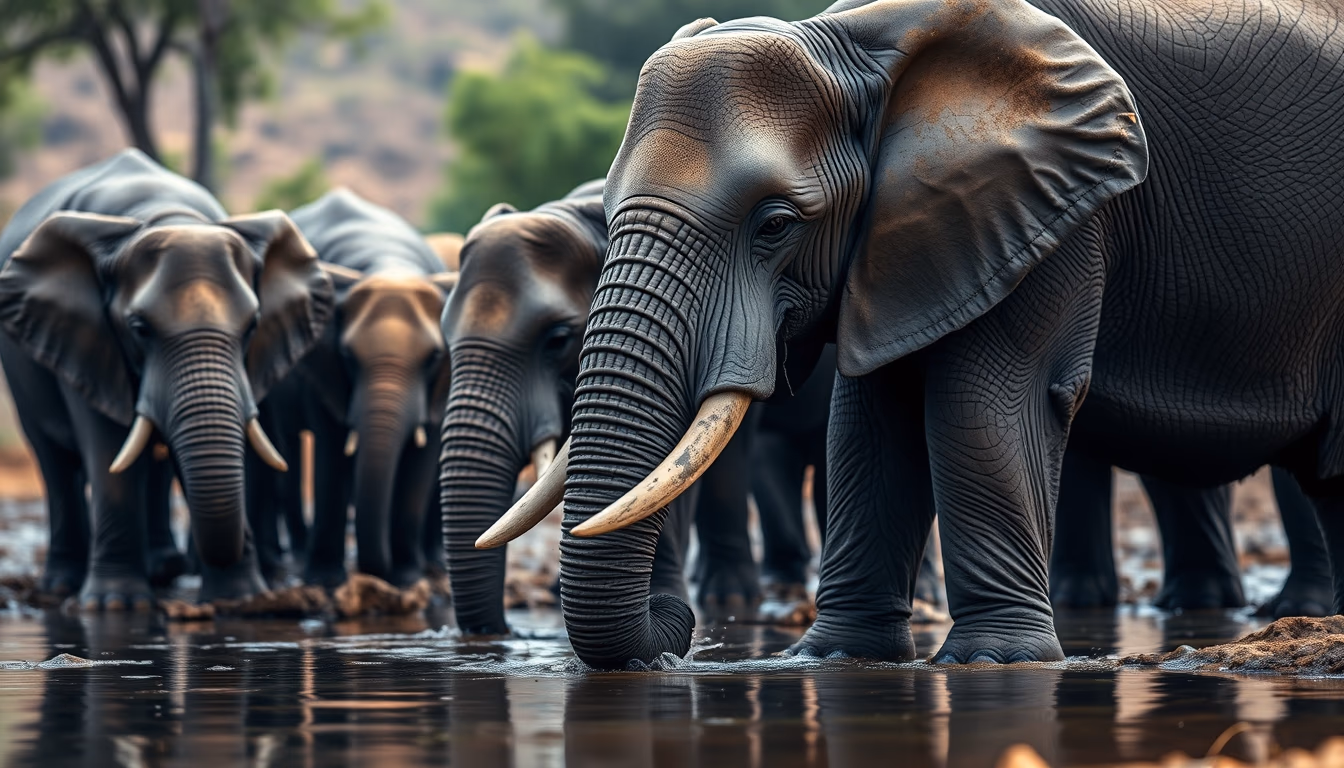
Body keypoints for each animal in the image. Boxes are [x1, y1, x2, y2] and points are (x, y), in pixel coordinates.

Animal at [0, 149, 332, 607]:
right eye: (138, 328)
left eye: (252, 325)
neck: (163, 215)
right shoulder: (86, 335)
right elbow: (107, 446)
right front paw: (115, 605)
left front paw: (240, 599)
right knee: (55, 460)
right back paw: (62, 587)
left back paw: (164, 570)